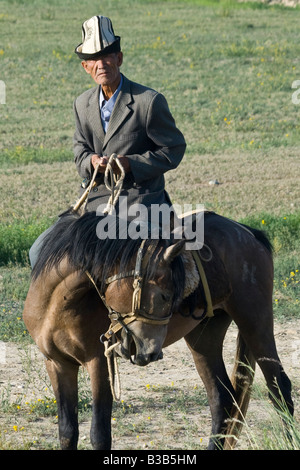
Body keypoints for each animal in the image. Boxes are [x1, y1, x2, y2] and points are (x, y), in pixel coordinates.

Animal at [22, 211, 292, 450]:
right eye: (164, 295)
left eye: (172, 296)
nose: (151, 352)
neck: (60, 305)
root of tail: (247, 232)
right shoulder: (57, 364)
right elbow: (67, 432)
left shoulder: (99, 363)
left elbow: (99, 435)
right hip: (204, 337)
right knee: (221, 399)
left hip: (255, 321)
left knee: (279, 387)